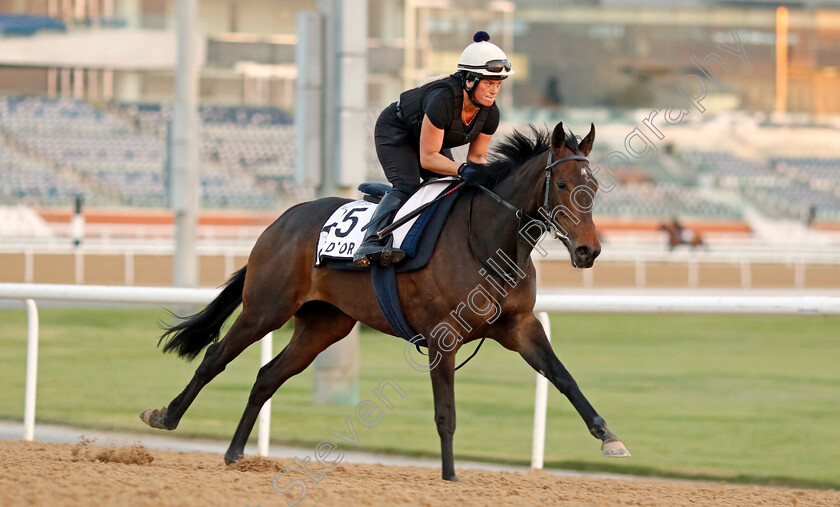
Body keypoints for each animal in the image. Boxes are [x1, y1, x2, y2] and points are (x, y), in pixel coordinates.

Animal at [141, 122, 632, 480]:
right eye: (563, 185)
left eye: (593, 186)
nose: (588, 251)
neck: (487, 240)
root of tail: (281, 221)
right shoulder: (443, 335)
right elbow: (446, 412)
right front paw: (450, 476)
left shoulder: (520, 326)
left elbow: (563, 377)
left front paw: (609, 436)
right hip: (266, 308)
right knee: (214, 357)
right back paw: (165, 417)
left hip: (324, 325)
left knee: (267, 377)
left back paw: (235, 452)